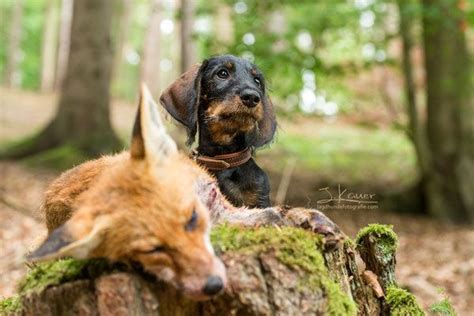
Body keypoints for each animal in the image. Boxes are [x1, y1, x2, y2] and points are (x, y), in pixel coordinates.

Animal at [29, 84, 340, 302]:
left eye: (195, 216)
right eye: (152, 251)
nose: (212, 284)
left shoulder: (224, 206)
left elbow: (273, 211)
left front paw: (308, 219)